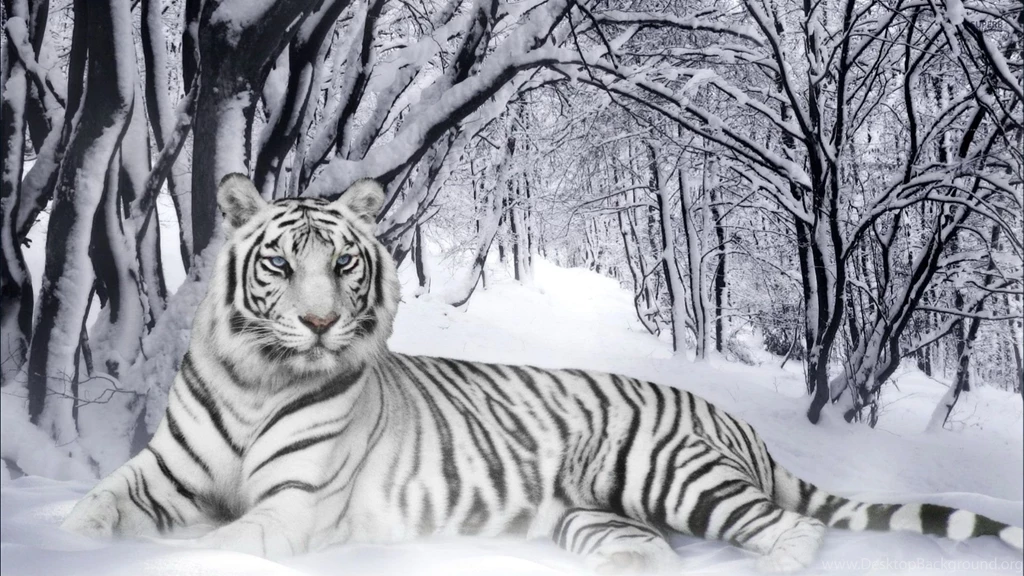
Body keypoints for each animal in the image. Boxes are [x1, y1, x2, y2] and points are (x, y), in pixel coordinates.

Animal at [61, 173, 1023, 574]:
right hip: (591, 516)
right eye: (280, 264)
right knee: (651, 551)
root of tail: (733, 419)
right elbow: (92, 510)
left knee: (791, 532)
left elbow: (210, 544)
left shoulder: (291, 509)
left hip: (670, 473)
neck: (259, 378)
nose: (322, 322)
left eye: (343, 264)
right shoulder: (159, 475)